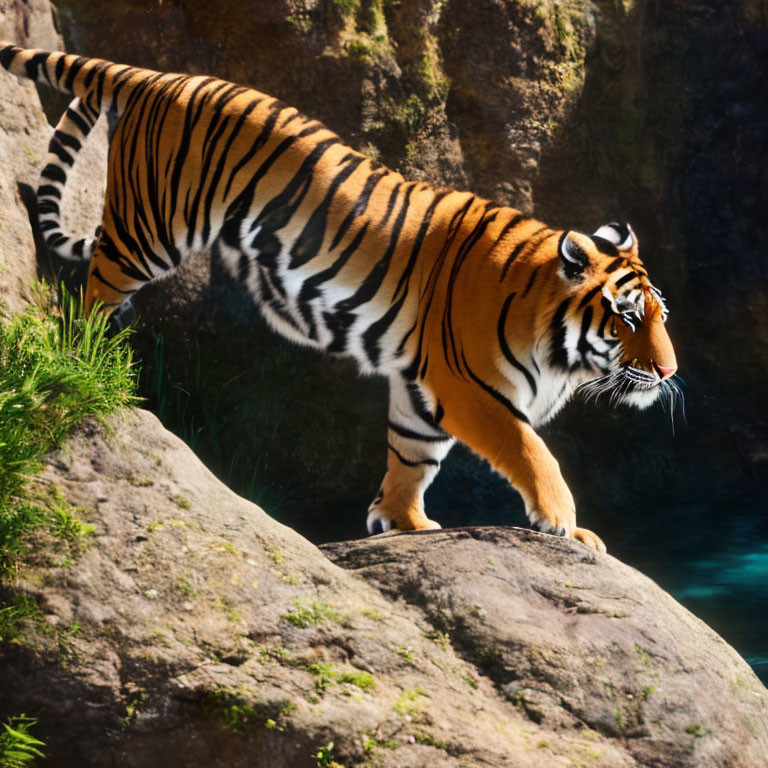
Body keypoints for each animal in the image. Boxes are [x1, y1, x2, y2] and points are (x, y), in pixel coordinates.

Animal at [0, 42, 684, 552]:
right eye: (627, 318)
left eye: (660, 316)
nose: (668, 372)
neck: (552, 337)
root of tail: (155, 74)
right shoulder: (473, 390)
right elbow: (532, 452)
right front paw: (566, 525)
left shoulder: (422, 389)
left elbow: (412, 455)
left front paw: (403, 522)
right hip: (149, 230)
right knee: (90, 293)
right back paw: (86, 357)